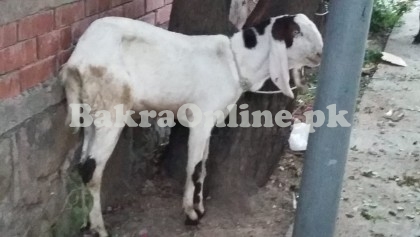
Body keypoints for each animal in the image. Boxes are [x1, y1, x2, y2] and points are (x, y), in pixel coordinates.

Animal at [60, 13, 322, 236]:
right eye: (295, 31)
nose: (320, 53)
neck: (234, 61)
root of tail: (76, 62)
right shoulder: (201, 119)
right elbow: (194, 168)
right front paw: (191, 215)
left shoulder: (210, 122)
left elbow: (203, 166)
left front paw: (200, 208)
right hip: (111, 108)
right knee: (91, 170)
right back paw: (99, 228)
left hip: (90, 111)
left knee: (82, 165)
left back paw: (86, 223)